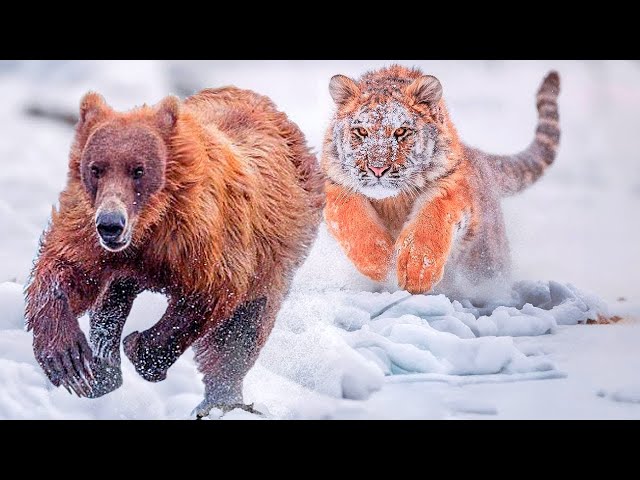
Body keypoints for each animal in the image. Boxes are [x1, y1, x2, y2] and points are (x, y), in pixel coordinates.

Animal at [322, 65, 560, 295]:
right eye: (361, 131)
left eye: (401, 131)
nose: (377, 168)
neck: (392, 201)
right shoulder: (335, 186)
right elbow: (351, 219)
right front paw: (381, 262)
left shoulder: (450, 185)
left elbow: (431, 219)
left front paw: (416, 270)